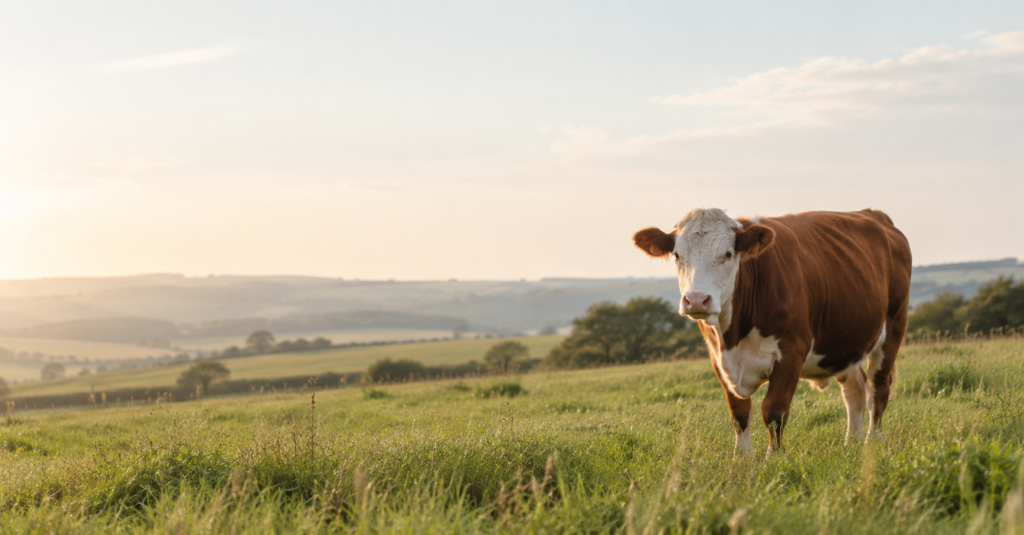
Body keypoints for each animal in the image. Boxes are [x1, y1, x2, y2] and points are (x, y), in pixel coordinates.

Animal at [633, 208, 911, 456]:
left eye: (728, 254)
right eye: (677, 255)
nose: (697, 300)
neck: (733, 338)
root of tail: (875, 214)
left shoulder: (791, 353)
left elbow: (774, 411)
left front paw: (775, 459)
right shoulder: (717, 357)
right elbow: (738, 413)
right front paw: (742, 459)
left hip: (894, 326)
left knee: (878, 388)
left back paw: (872, 442)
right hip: (844, 342)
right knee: (855, 389)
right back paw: (851, 443)